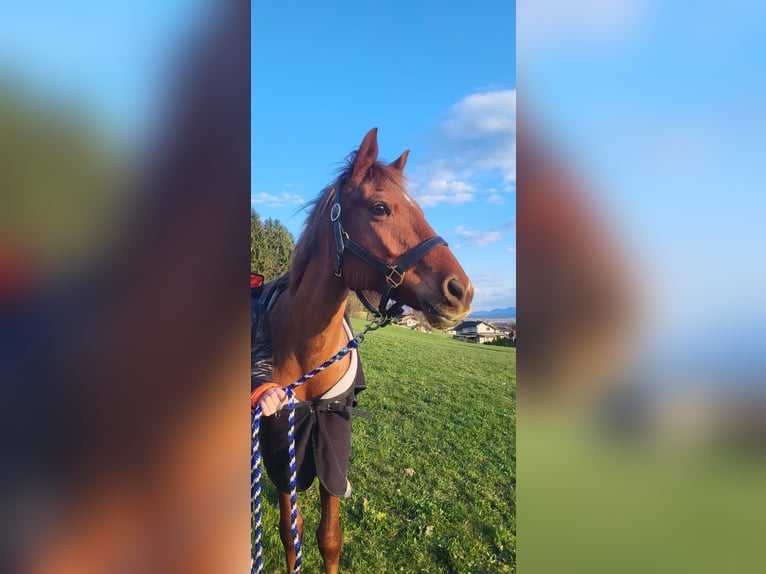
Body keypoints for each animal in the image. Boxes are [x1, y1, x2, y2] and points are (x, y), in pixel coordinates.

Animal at [259, 127, 474, 573]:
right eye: (380, 208)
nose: (461, 292)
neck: (306, 349)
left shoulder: (331, 440)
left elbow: (329, 538)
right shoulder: (280, 443)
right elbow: (291, 532)